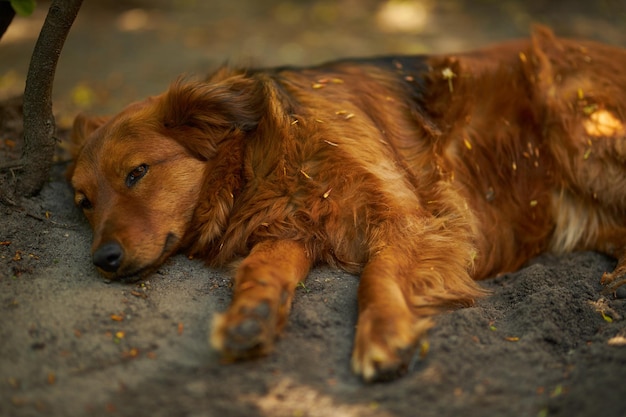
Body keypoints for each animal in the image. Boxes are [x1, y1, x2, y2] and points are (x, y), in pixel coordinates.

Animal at [69, 26, 624, 380]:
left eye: (137, 172)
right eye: (83, 202)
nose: (103, 260)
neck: (264, 151)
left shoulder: (407, 216)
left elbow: (376, 274)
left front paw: (383, 333)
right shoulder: (292, 227)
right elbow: (260, 270)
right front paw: (251, 314)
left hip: (577, 122)